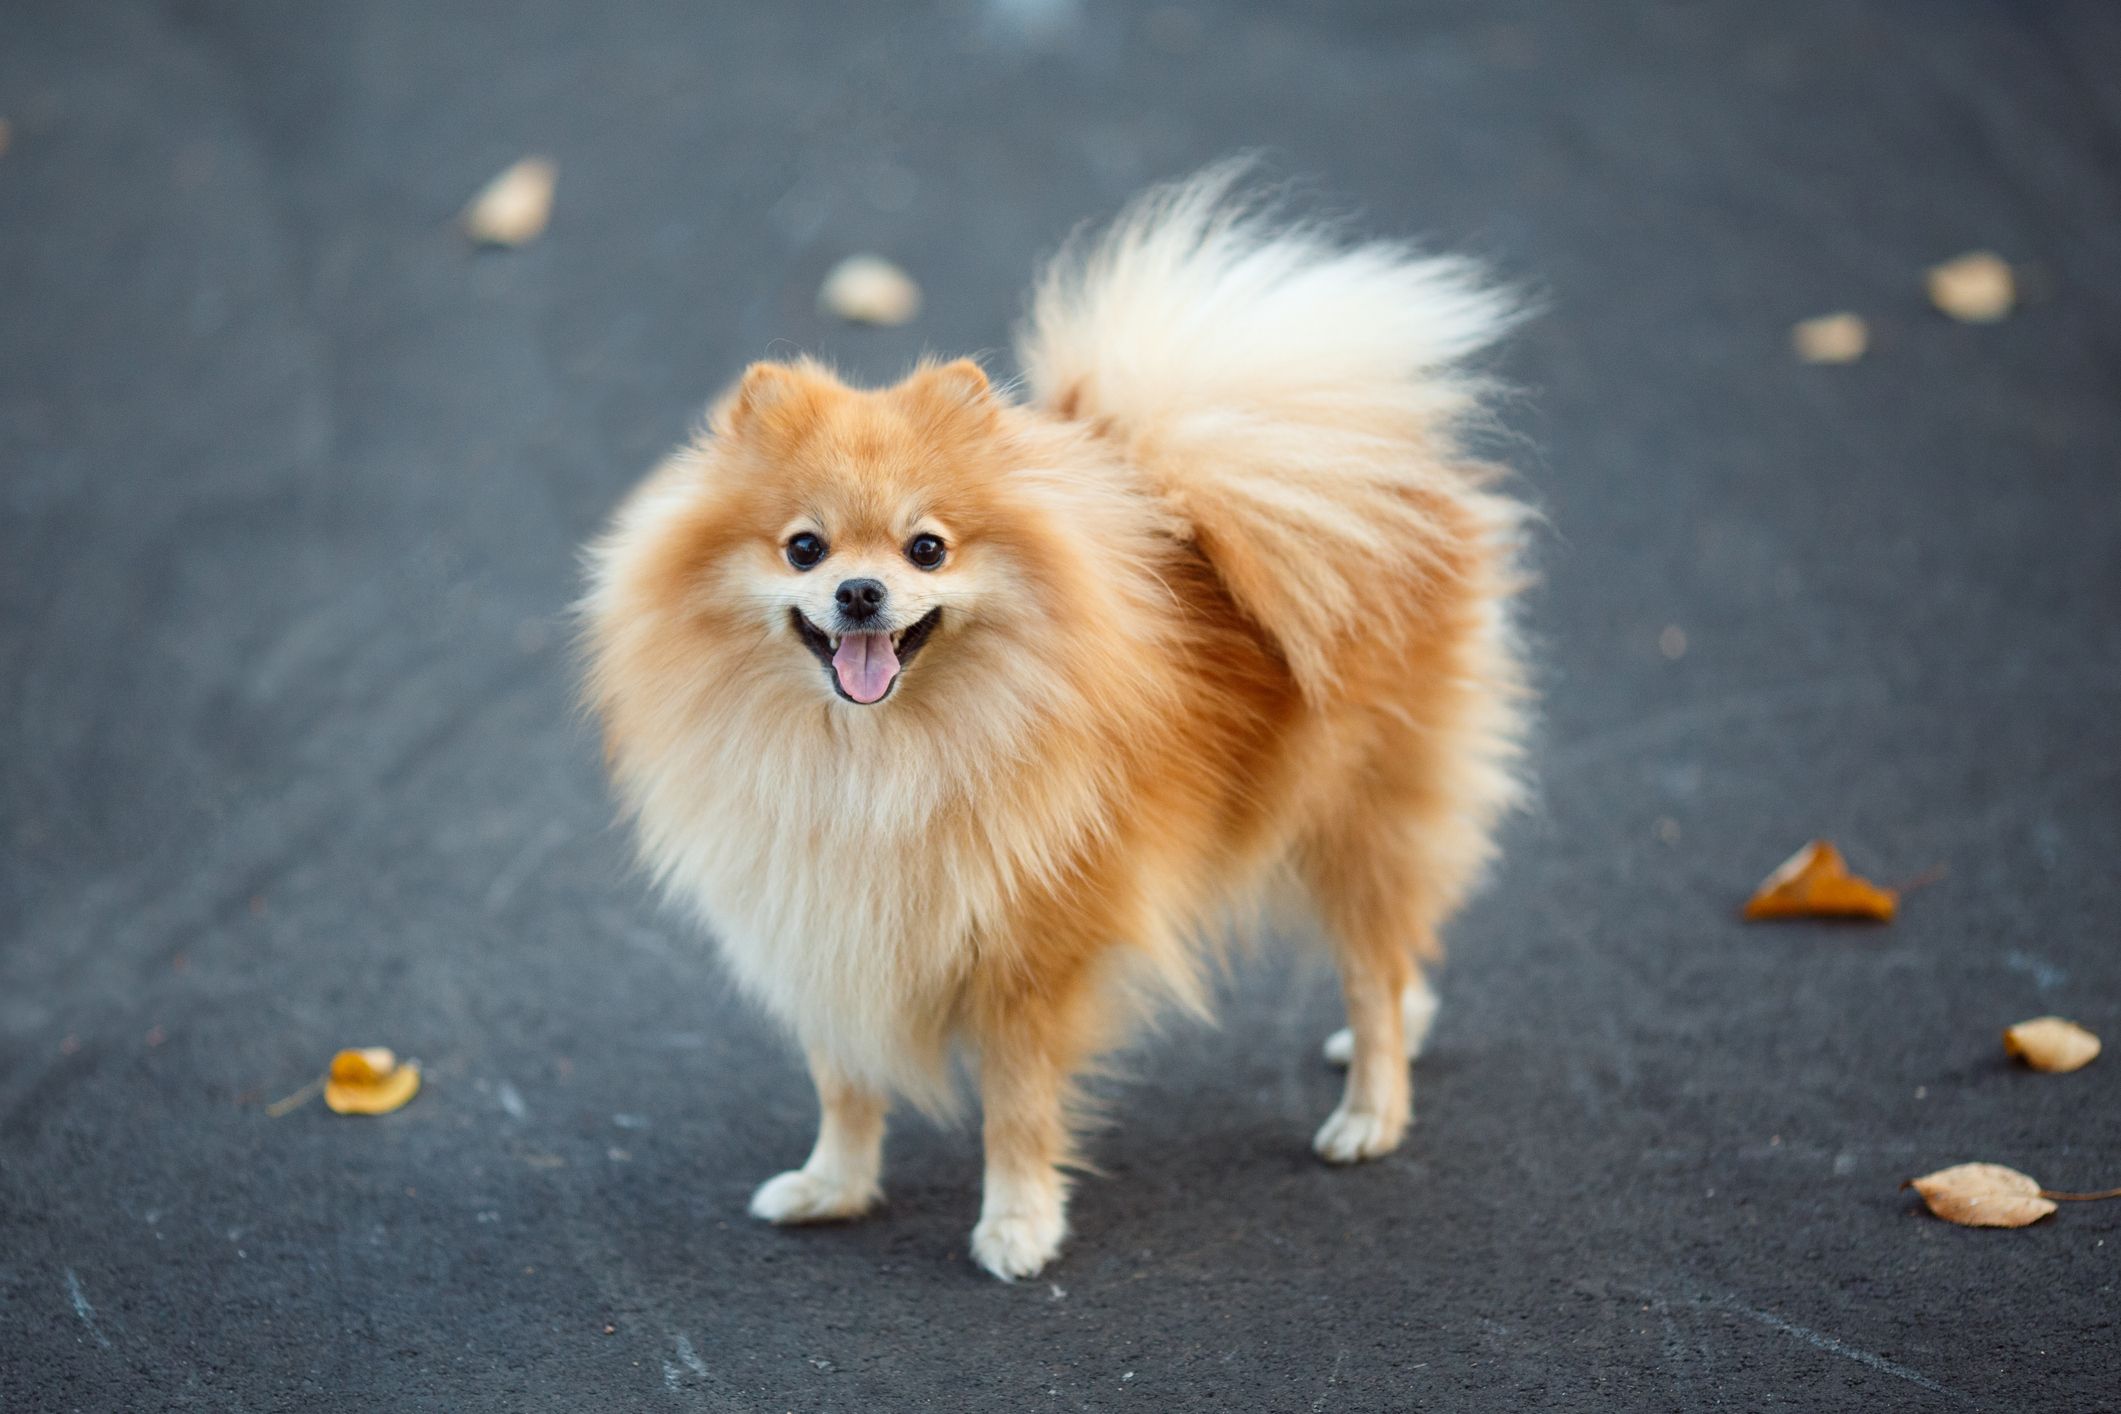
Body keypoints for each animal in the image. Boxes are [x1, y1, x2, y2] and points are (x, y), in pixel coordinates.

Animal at [589, 168, 1535, 1280]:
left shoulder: (1030, 954)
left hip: (1354, 811)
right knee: (1398, 953)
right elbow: (845, 1082)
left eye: (925, 547)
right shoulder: (827, 926)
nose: (861, 592)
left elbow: (1016, 1107)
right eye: (804, 547)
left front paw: (1017, 1225)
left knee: (1371, 966)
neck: (872, 759)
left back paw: (1370, 1111)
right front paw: (833, 1186)